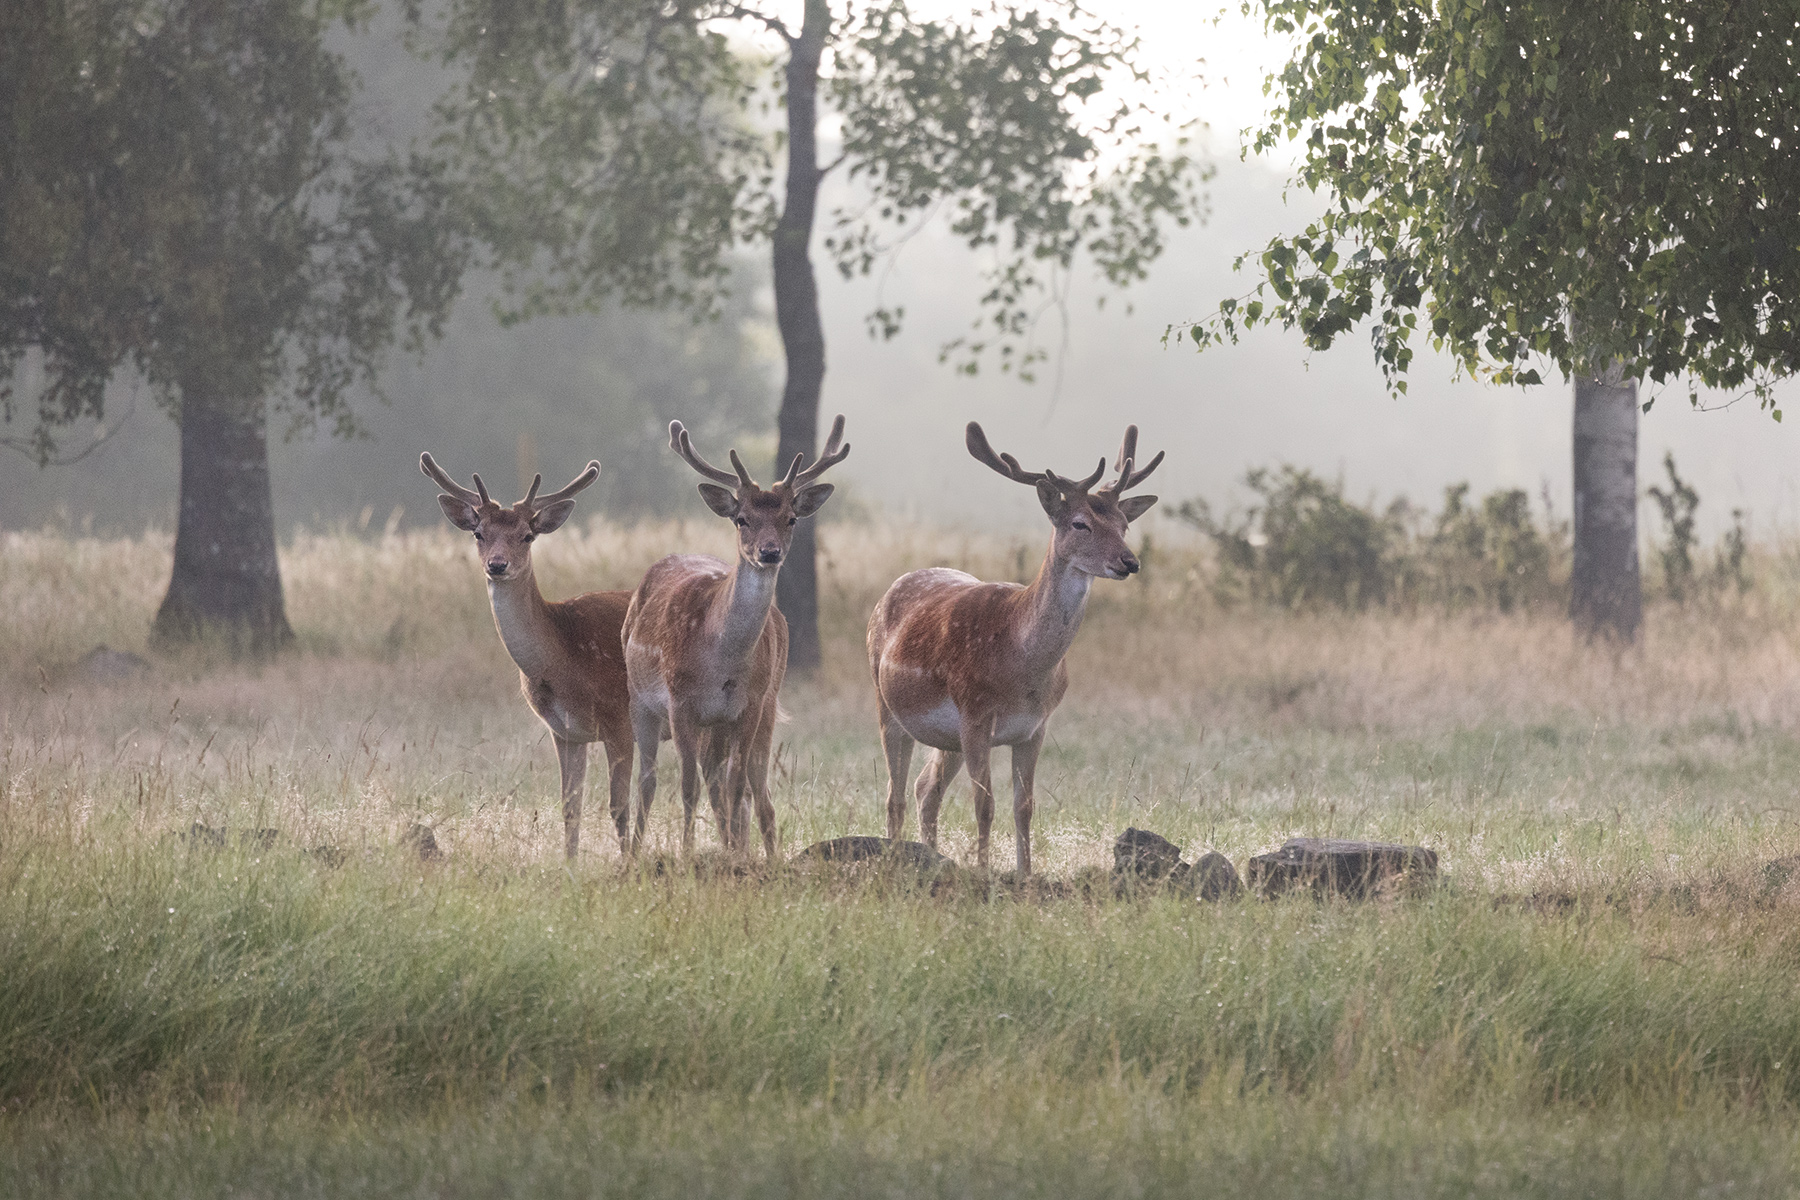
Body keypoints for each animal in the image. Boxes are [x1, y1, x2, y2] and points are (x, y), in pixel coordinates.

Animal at [419, 455, 633, 859]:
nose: (497, 564)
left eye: (527, 535)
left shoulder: (620, 720)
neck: (566, 661)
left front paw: (632, 864)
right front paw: (569, 866)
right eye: (478, 532)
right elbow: (570, 806)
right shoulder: (565, 731)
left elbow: (620, 806)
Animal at [626, 417, 849, 859]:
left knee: (738, 785)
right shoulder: (680, 702)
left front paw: (735, 856)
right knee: (647, 779)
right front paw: (687, 854)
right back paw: (633, 851)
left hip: (753, 712)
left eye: (791, 518)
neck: (722, 660)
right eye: (741, 518)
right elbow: (687, 787)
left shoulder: (748, 706)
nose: (769, 552)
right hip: (639, 699)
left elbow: (734, 785)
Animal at [864, 422, 1159, 874]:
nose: (1130, 562)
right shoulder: (974, 714)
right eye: (1080, 524)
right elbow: (985, 805)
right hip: (888, 704)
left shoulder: (1035, 727)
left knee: (924, 788)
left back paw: (930, 855)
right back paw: (899, 859)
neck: (1022, 668)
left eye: (1124, 523)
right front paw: (984, 872)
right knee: (894, 795)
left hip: (946, 737)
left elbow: (1025, 806)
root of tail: (888, 592)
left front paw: (1025, 872)